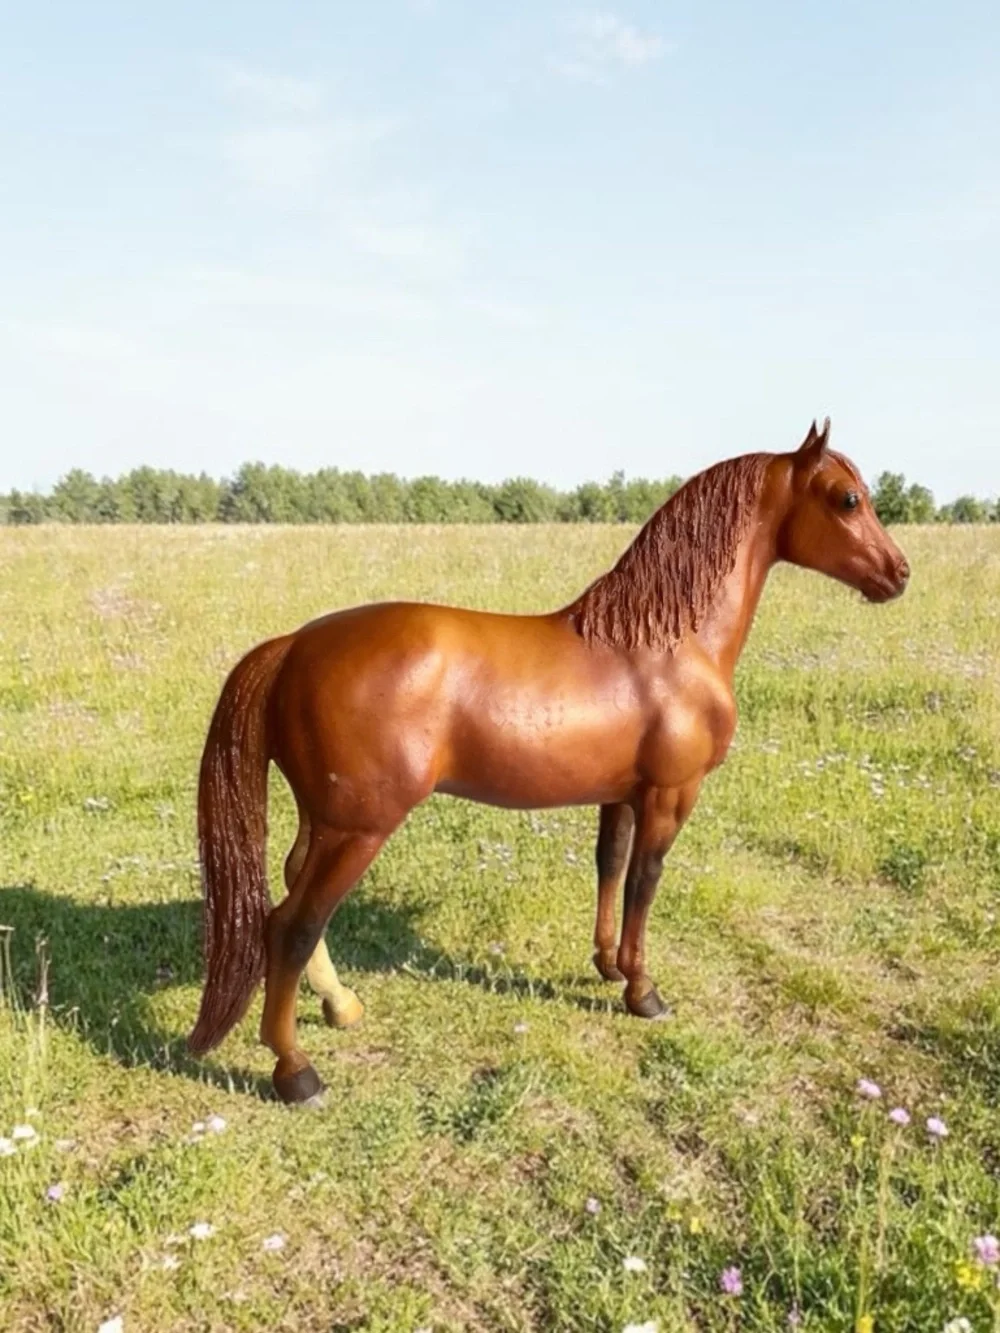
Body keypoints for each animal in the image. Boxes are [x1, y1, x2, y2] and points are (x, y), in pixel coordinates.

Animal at [187, 419, 910, 1104]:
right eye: (847, 498)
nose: (899, 572)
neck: (665, 643)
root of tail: (293, 646)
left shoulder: (622, 793)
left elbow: (610, 867)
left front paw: (609, 965)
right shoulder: (669, 795)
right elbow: (645, 881)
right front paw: (643, 991)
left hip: (327, 820)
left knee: (293, 892)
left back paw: (341, 1005)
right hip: (358, 829)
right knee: (292, 924)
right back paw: (295, 1070)